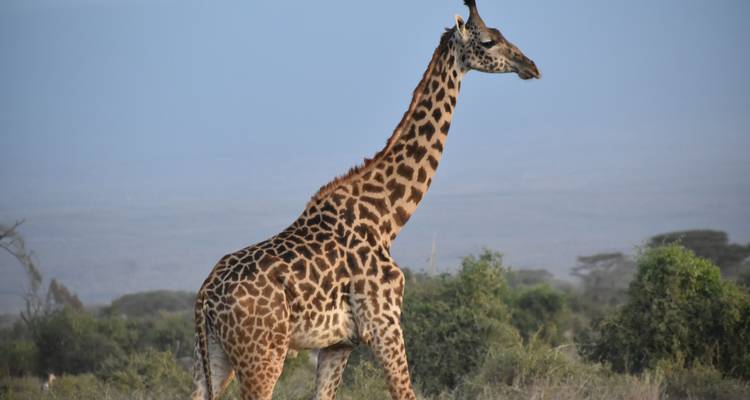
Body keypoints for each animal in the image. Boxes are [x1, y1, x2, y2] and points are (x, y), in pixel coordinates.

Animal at [192, 1, 539, 399]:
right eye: (488, 40)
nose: (530, 66)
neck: (386, 218)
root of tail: (205, 294)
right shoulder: (384, 325)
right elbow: (406, 393)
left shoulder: (339, 343)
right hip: (262, 355)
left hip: (212, 355)